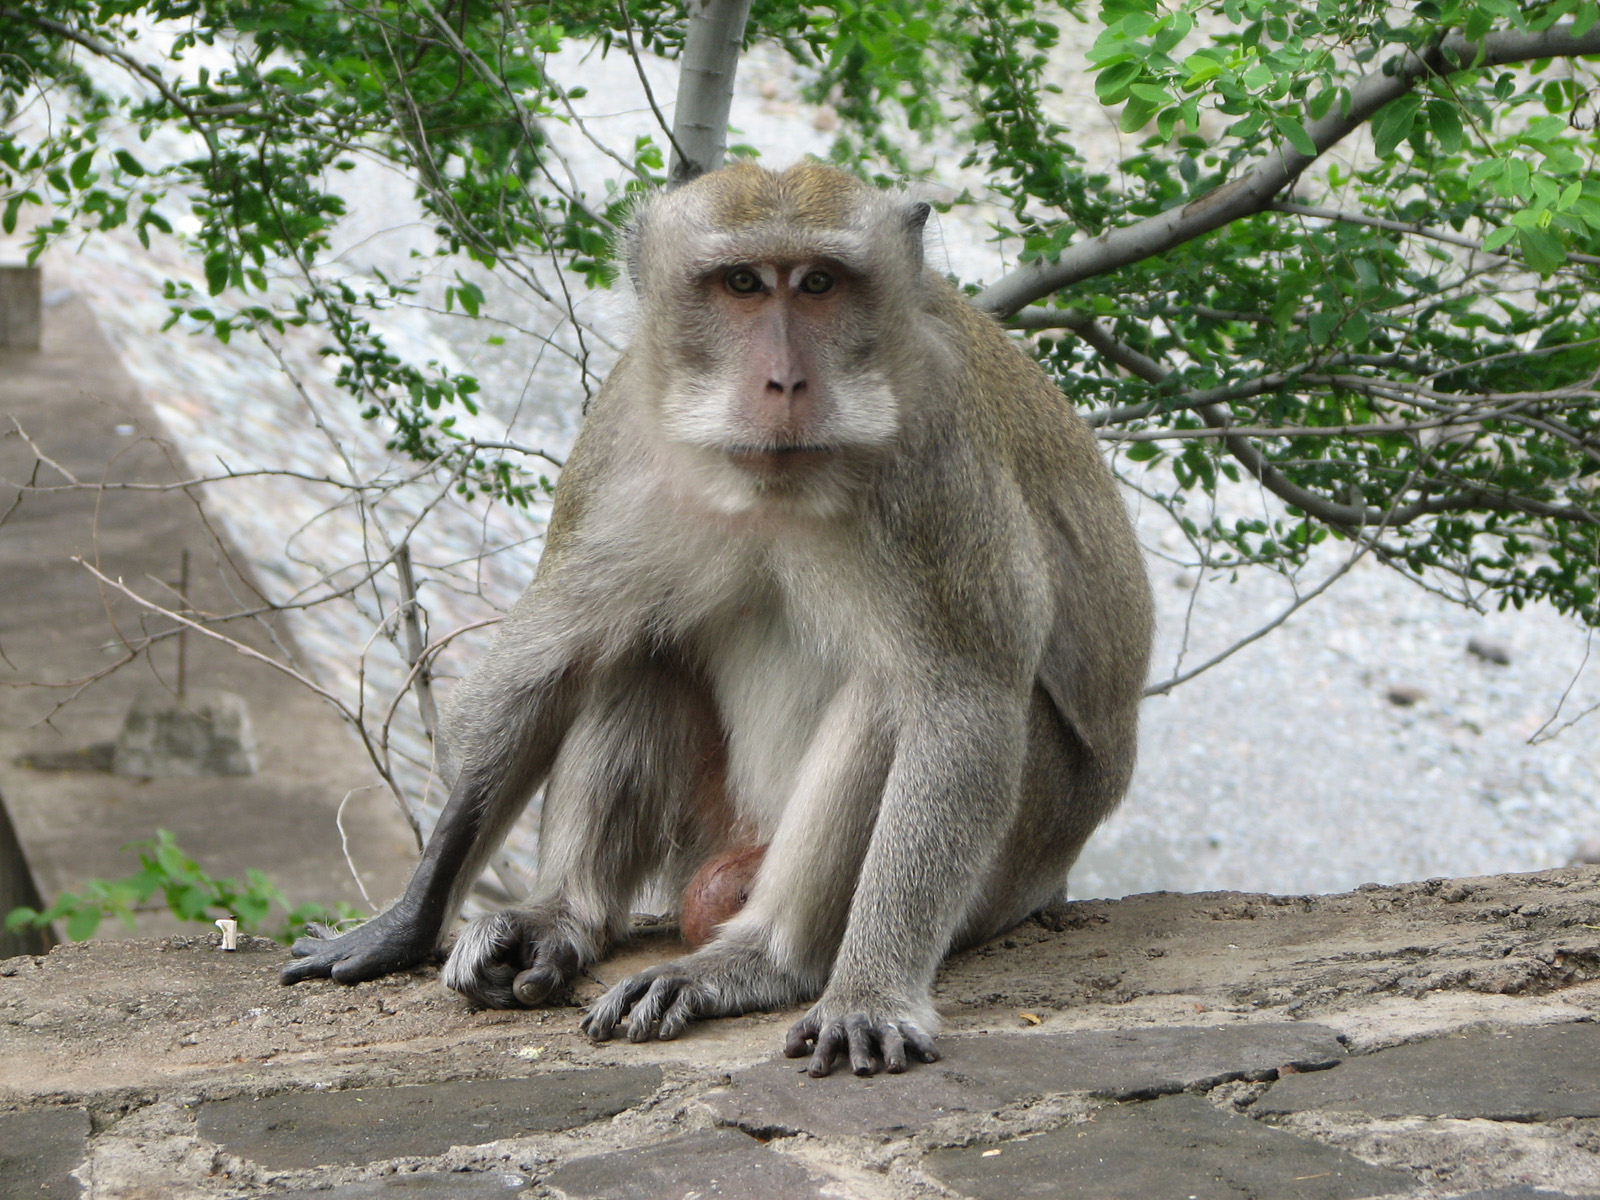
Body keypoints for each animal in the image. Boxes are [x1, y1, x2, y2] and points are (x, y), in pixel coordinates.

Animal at [278, 162, 1152, 1081]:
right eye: (741, 284)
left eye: (819, 284)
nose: (786, 383)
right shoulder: (620, 430)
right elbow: (544, 668)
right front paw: (407, 921)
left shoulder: (936, 465)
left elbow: (962, 707)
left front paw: (869, 992)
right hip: (712, 830)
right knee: (636, 648)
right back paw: (563, 917)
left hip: (1011, 860)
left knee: (891, 696)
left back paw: (761, 960)